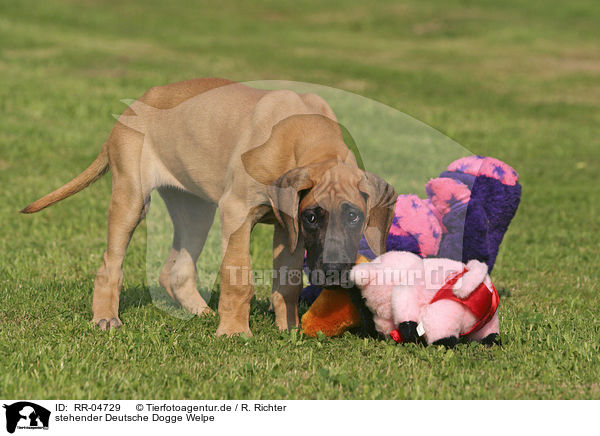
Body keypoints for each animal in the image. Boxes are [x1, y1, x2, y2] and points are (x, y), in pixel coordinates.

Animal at [22, 77, 398, 338]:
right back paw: (105, 317)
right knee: (110, 263)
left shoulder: (286, 227)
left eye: (354, 216)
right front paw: (234, 332)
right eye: (312, 217)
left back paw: (200, 311)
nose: (334, 270)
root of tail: (133, 105)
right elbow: (237, 275)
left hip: (196, 211)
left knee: (175, 270)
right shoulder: (238, 213)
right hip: (131, 199)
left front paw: (288, 328)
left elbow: (288, 281)